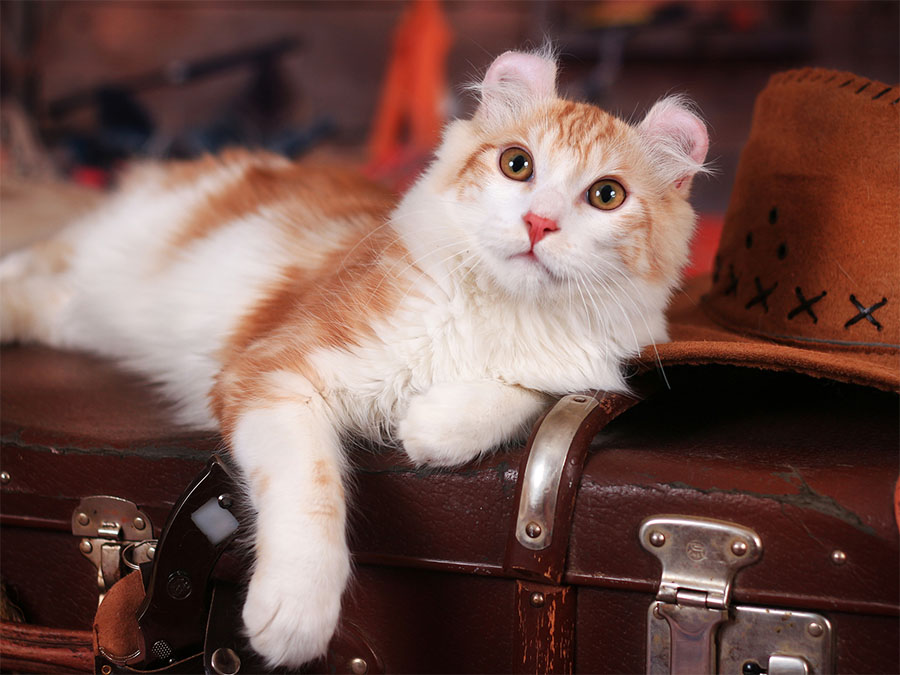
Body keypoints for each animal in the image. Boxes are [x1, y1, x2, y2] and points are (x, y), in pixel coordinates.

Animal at [0, 50, 708, 668]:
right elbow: (312, 487)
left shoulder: (581, 367)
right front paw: (295, 610)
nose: (539, 223)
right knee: (27, 263)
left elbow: (521, 395)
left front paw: (431, 428)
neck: (499, 311)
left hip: (78, 311)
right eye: (517, 164)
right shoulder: (275, 368)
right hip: (100, 253)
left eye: (607, 196)